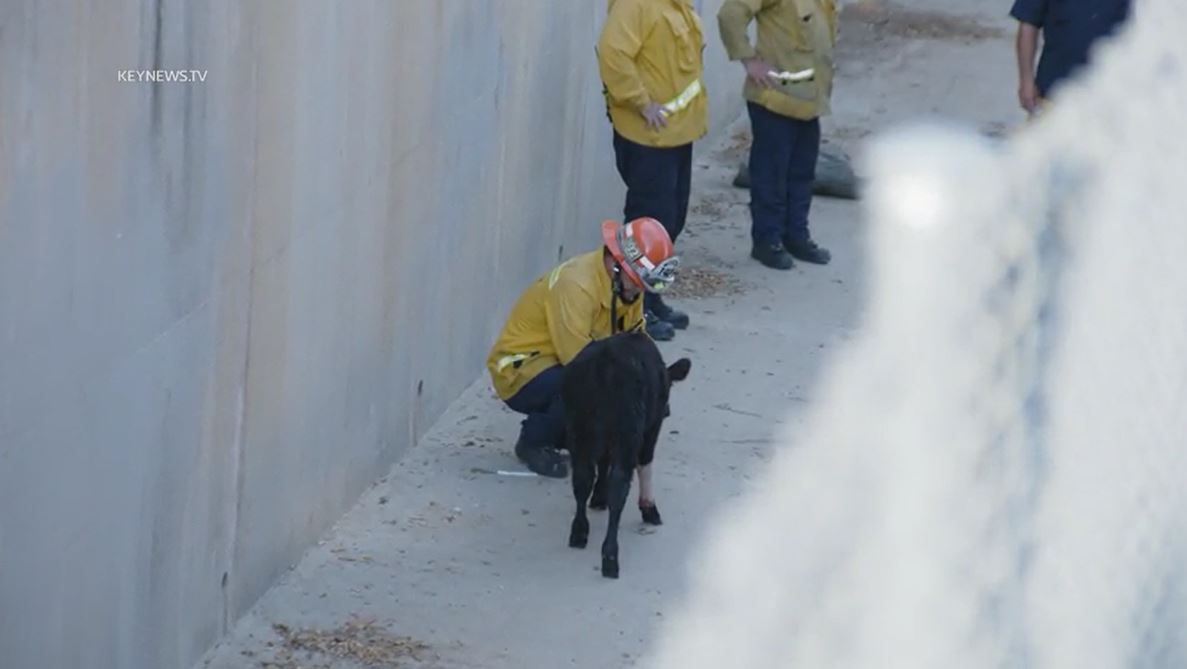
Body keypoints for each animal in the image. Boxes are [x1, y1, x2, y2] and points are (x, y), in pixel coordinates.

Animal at [560, 329, 693, 581]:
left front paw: (598, 498)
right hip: (627, 434)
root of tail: (604, 362)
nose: (668, 410)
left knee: (582, 479)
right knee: (619, 486)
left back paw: (579, 532)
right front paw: (649, 509)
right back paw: (610, 557)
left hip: (578, 430)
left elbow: (602, 464)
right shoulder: (650, 429)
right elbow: (645, 463)